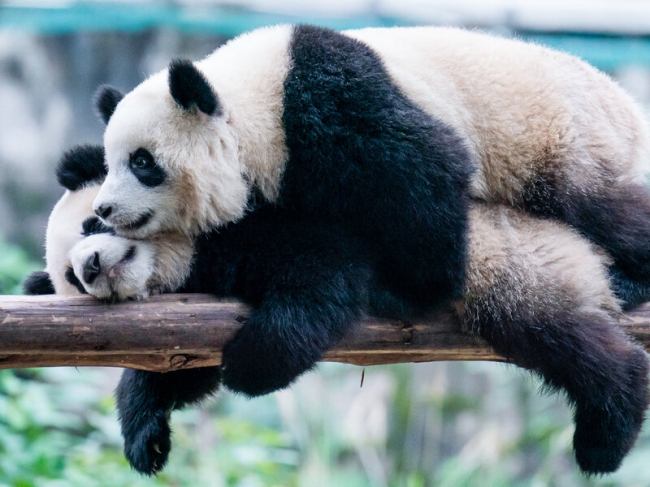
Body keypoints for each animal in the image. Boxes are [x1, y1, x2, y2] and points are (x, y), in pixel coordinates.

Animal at [26, 144, 649, 477]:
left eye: (93, 222)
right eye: (70, 283)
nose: (89, 268)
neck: (184, 253)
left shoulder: (265, 219)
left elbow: (325, 275)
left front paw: (251, 365)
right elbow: (179, 364)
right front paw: (147, 438)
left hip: (515, 264)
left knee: (562, 339)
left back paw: (607, 430)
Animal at [92, 25, 650, 313]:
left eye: (142, 162)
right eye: (109, 162)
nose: (103, 209)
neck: (249, 104)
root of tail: (629, 107)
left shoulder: (327, 102)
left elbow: (428, 169)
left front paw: (414, 290)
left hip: (567, 138)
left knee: (602, 208)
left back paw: (631, 280)